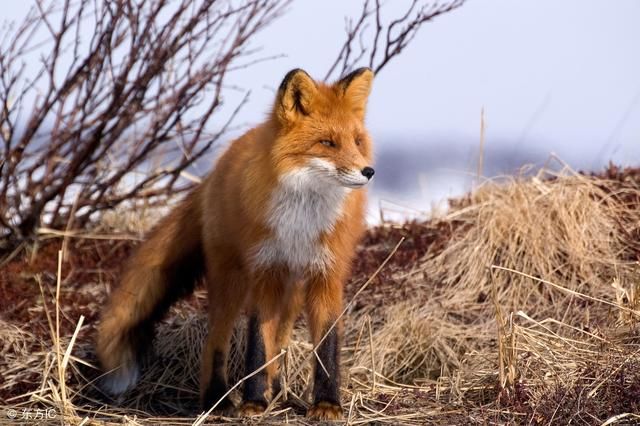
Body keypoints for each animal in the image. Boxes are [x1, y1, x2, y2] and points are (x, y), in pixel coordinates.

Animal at [95, 68, 376, 422]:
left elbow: (326, 345)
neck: (301, 221)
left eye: (357, 142)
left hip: (293, 288)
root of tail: (217, 168)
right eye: (327, 143)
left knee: (280, 337)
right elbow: (256, 342)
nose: (368, 171)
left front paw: (327, 404)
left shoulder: (326, 274)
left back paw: (277, 389)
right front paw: (253, 402)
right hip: (231, 278)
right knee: (216, 340)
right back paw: (218, 399)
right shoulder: (264, 271)